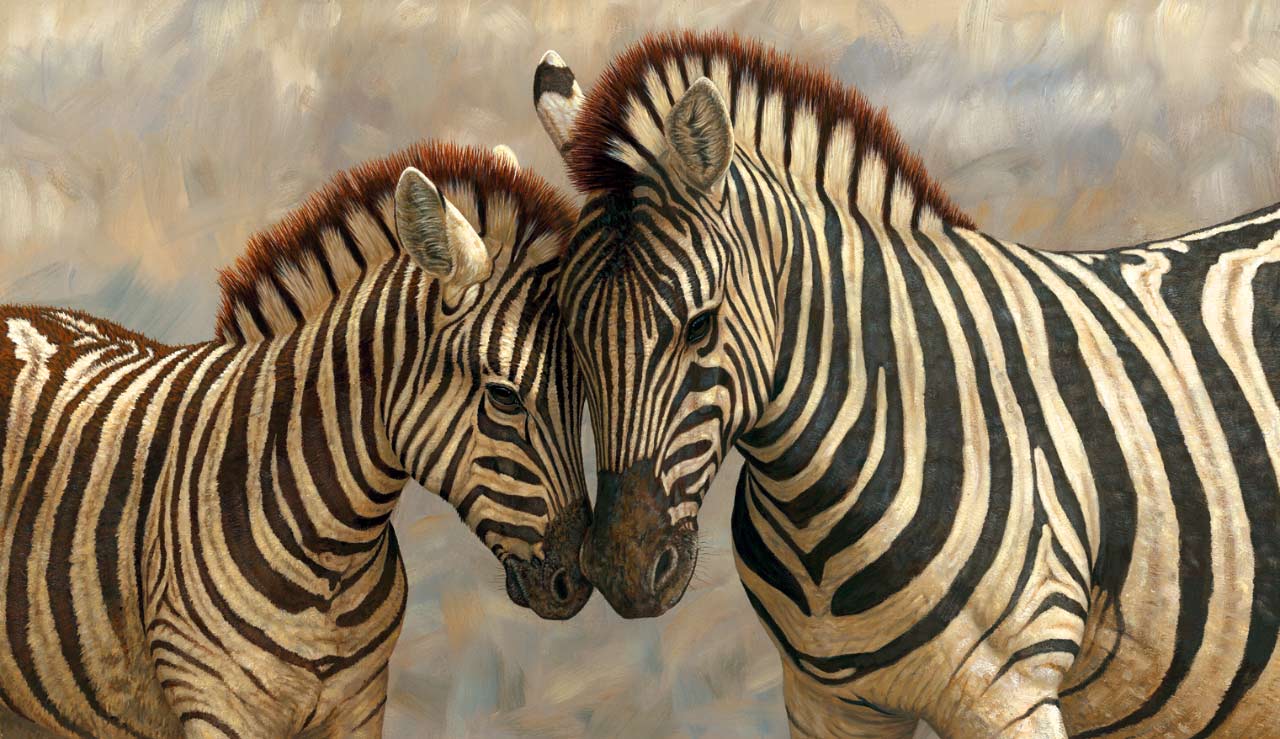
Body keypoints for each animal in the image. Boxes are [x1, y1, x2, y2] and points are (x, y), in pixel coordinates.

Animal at [0, 140, 591, 737]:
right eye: (504, 396)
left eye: (587, 396)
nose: (578, 583)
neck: (335, 558)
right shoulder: (217, 708)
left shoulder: (360, 707)